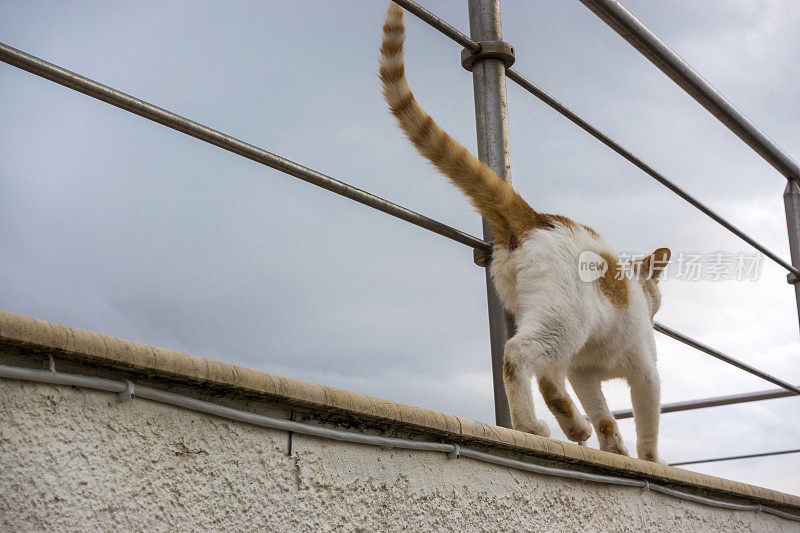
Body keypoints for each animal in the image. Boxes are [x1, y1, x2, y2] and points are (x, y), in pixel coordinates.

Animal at [380, 3, 668, 462]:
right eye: (657, 296)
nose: (657, 310)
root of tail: (535, 218)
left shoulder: (585, 372)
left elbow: (603, 413)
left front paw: (611, 446)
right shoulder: (644, 370)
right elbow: (648, 424)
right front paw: (649, 460)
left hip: (544, 319)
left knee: (546, 374)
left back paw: (568, 424)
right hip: (565, 320)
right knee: (518, 356)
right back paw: (533, 426)